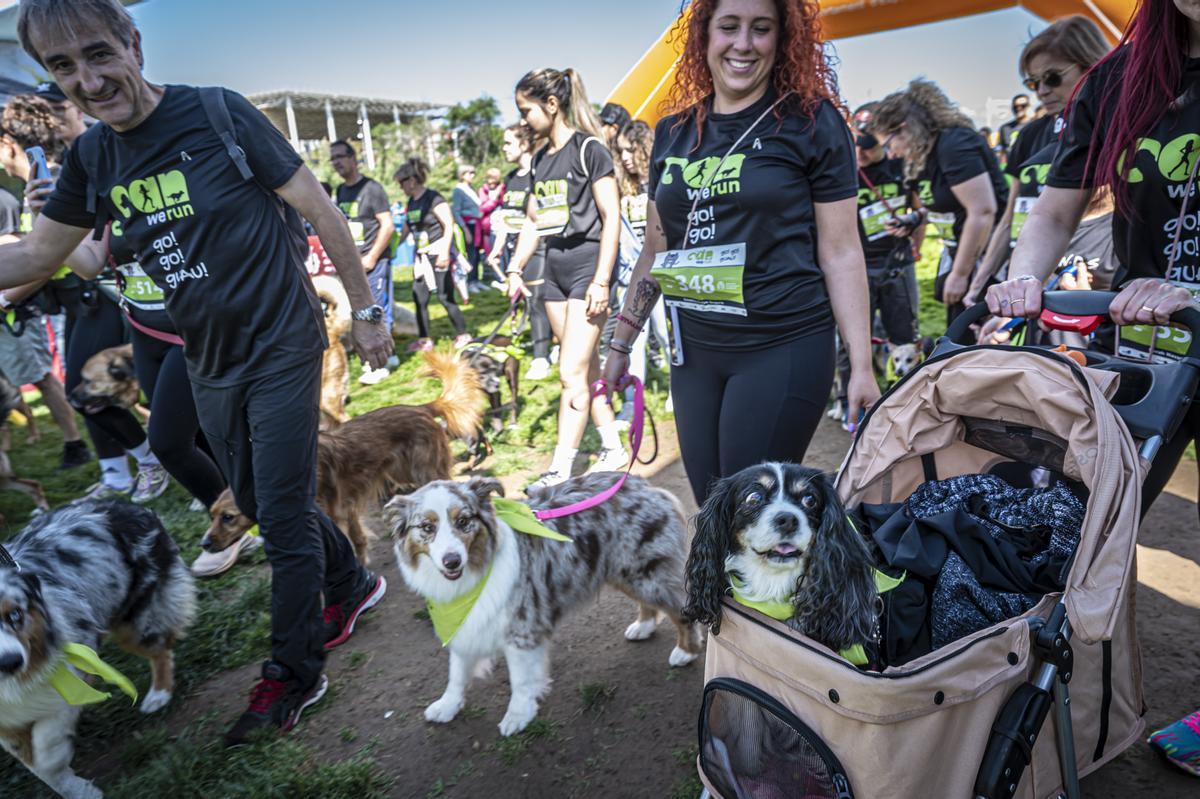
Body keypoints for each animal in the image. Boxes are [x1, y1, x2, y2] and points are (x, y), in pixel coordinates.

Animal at [199, 350, 480, 566]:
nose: (204, 543)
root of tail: (421, 408)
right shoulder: (345, 508)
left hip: (424, 471)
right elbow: (356, 538)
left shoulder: (337, 511)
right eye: (211, 515)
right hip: (402, 473)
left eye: (228, 517)